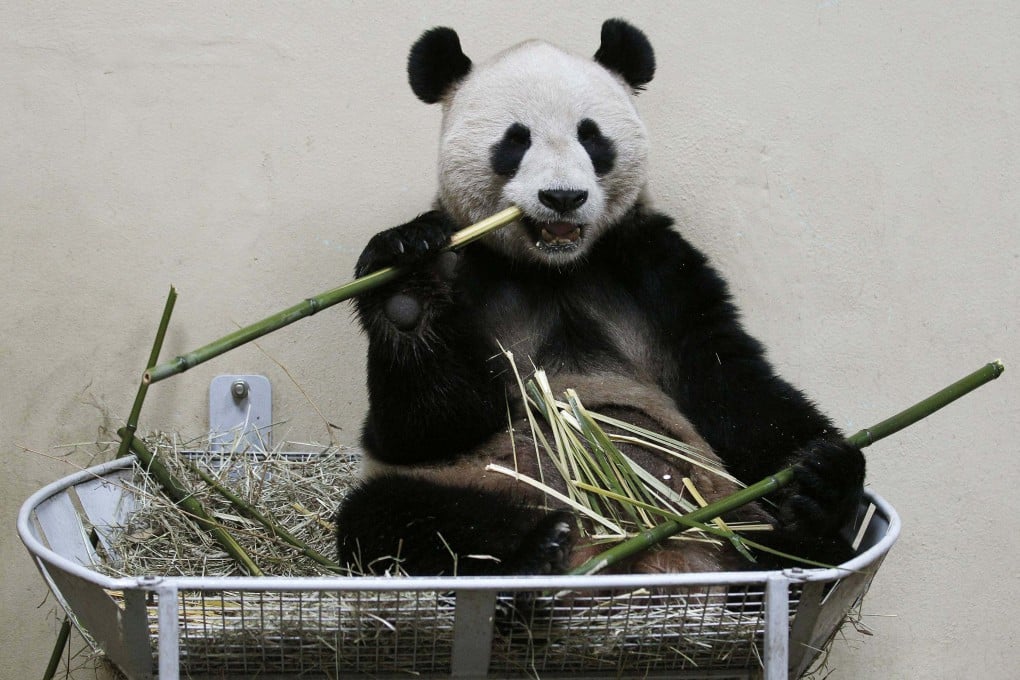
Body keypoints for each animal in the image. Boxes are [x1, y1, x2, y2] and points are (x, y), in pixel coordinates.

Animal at [336, 19, 865, 577]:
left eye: (591, 136)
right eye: (515, 141)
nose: (563, 197)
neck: (555, 268)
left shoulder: (654, 267)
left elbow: (729, 383)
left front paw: (825, 472)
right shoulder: (469, 268)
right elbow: (423, 428)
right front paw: (404, 282)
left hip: (734, 508)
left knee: (792, 543)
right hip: (463, 487)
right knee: (397, 517)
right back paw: (537, 549)